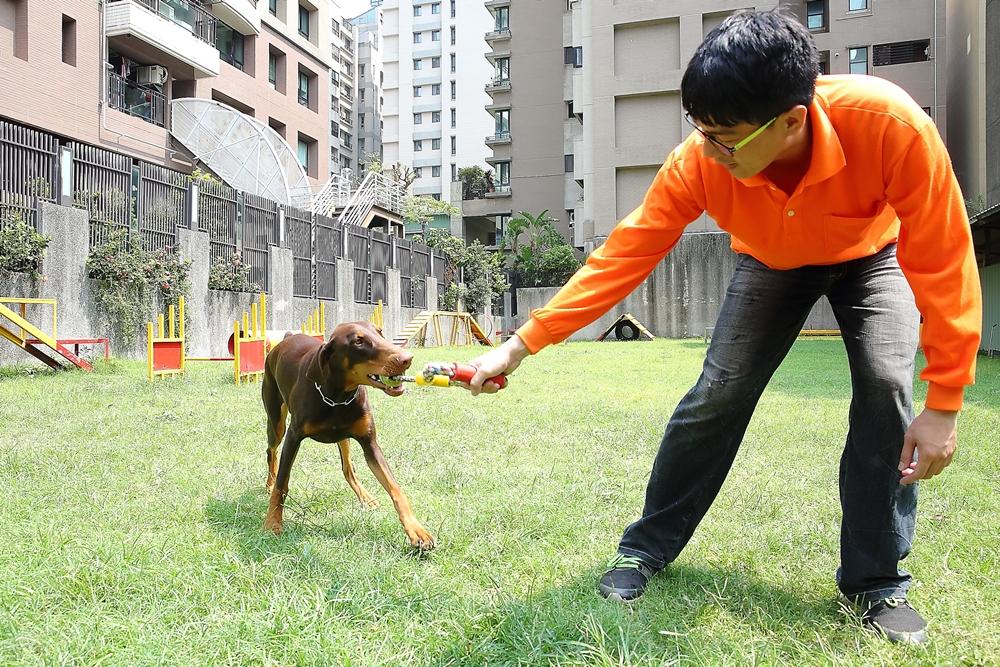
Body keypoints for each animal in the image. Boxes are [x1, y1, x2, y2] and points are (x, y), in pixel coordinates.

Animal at [262, 320, 434, 552]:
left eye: (379, 333)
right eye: (358, 341)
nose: (407, 358)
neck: (337, 397)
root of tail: (287, 338)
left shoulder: (370, 443)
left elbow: (395, 489)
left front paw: (417, 531)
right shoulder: (293, 437)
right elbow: (282, 484)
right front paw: (272, 522)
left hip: (343, 438)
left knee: (348, 468)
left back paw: (366, 498)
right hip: (276, 422)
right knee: (271, 450)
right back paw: (268, 482)